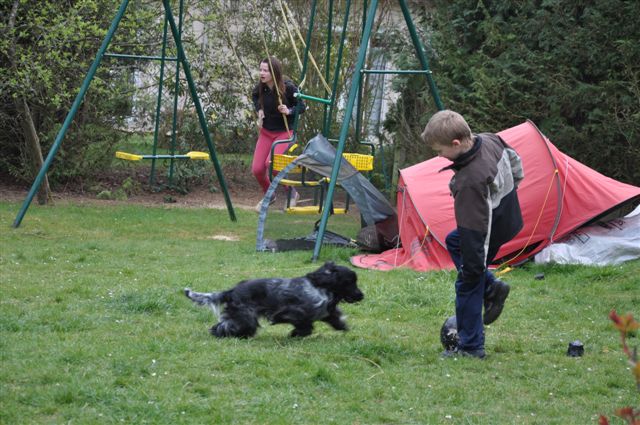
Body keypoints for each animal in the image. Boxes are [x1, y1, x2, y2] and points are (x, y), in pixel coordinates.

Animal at [185, 260, 364, 336]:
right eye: (350, 282)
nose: (361, 295)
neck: (320, 288)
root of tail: (232, 290)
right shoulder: (295, 311)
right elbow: (302, 324)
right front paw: (294, 333)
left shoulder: (327, 312)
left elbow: (334, 319)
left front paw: (343, 327)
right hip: (245, 316)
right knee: (225, 326)